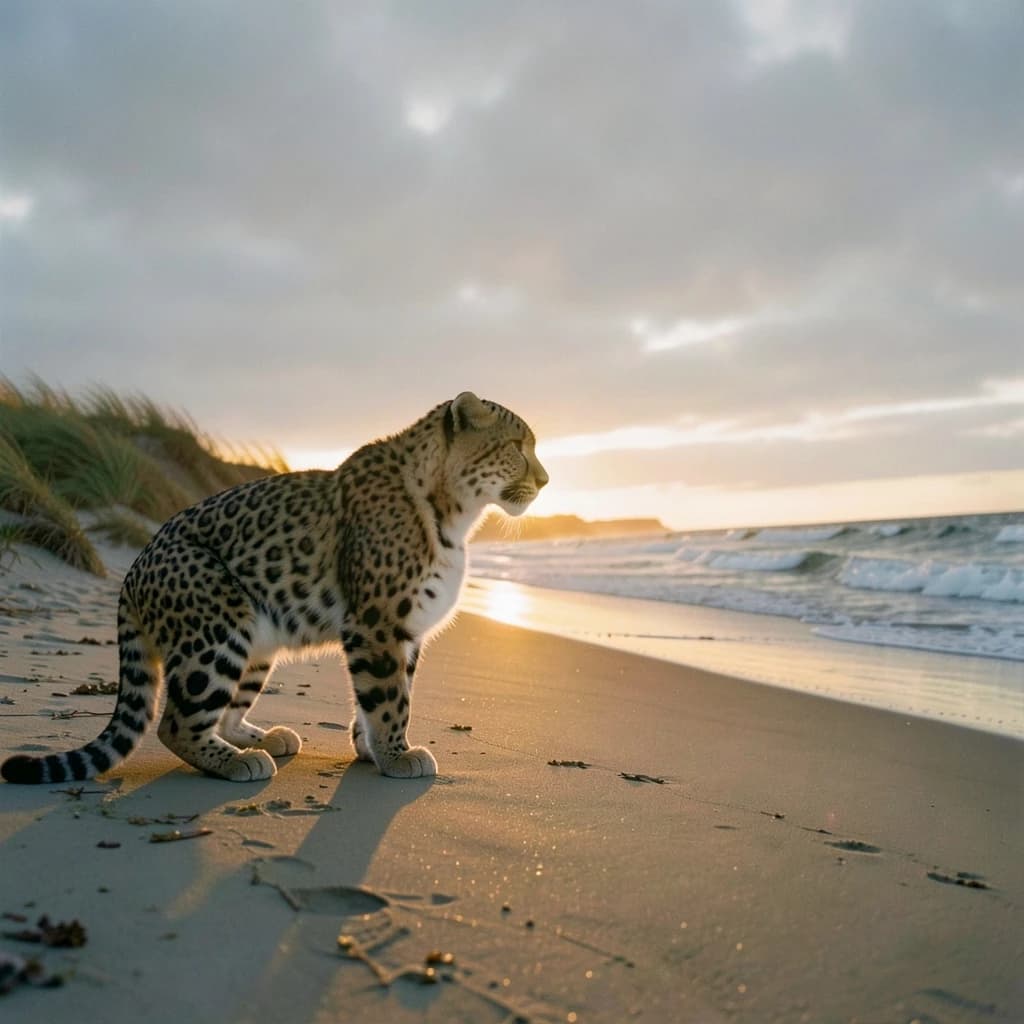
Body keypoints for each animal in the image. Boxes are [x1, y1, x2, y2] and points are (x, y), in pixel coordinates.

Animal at [1, 392, 547, 784]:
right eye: (516, 447)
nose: (545, 480)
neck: (456, 514)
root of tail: (132, 572)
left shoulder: (400, 630)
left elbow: (380, 695)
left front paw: (371, 749)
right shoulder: (377, 623)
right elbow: (391, 697)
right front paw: (396, 755)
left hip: (258, 639)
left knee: (221, 714)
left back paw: (258, 741)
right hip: (217, 628)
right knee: (175, 722)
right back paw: (236, 763)